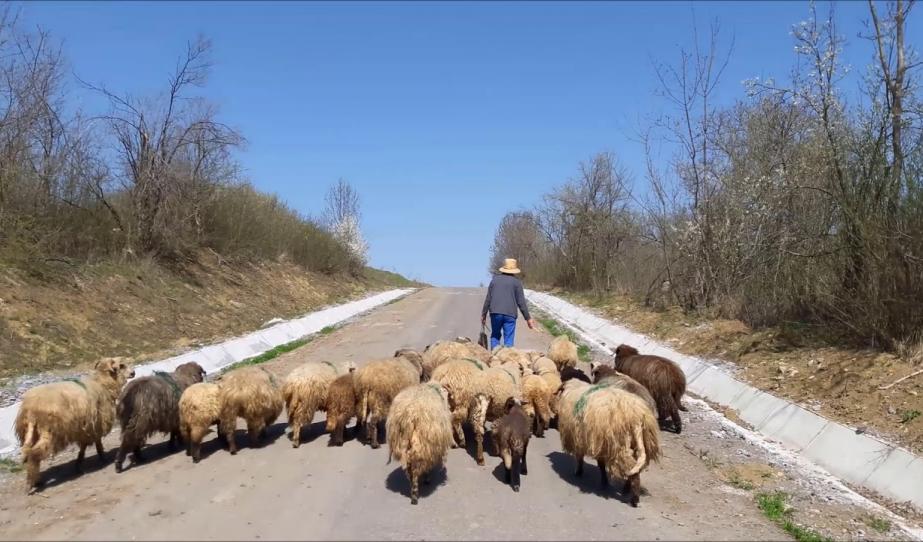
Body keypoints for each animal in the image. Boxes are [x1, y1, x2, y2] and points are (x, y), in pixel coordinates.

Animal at [14, 360, 134, 490]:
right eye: (121, 365)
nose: (133, 373)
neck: (102, 384)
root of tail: (31, 408)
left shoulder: (85, 428)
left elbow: (84, 445)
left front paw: (79, 463)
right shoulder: (96, 424)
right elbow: (96, 442)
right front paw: (101, 458)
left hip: (30, 431)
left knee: (27, 450)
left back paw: (35, 480)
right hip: (50, 431)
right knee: (34, 453)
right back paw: (31, 484)